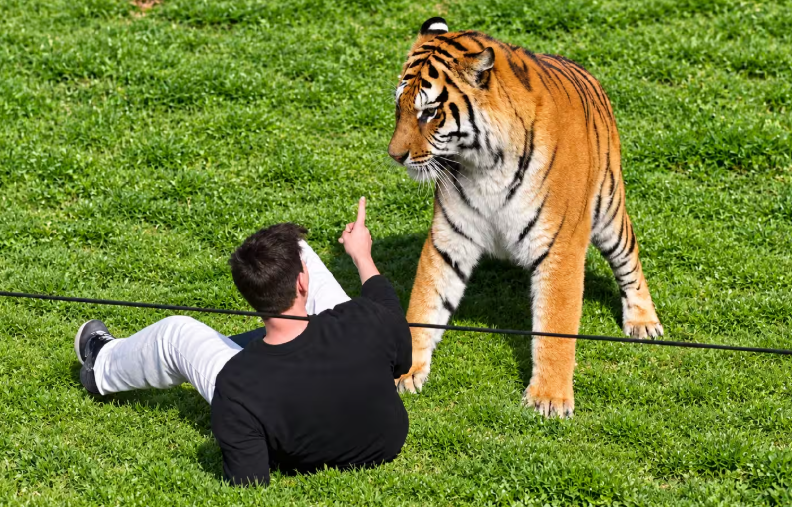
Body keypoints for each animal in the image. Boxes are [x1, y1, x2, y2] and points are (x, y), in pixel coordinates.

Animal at [387, 17, 663, 417]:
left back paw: (643, 322)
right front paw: (405, 371)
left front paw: (549, 398)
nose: (395, 155)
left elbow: (555, 323)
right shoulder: (450, 238)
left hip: (609, 209)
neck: (484, 164)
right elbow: (426, 301)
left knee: (630, 261)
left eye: (429, 113)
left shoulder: (560, 246)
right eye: (400, 107)